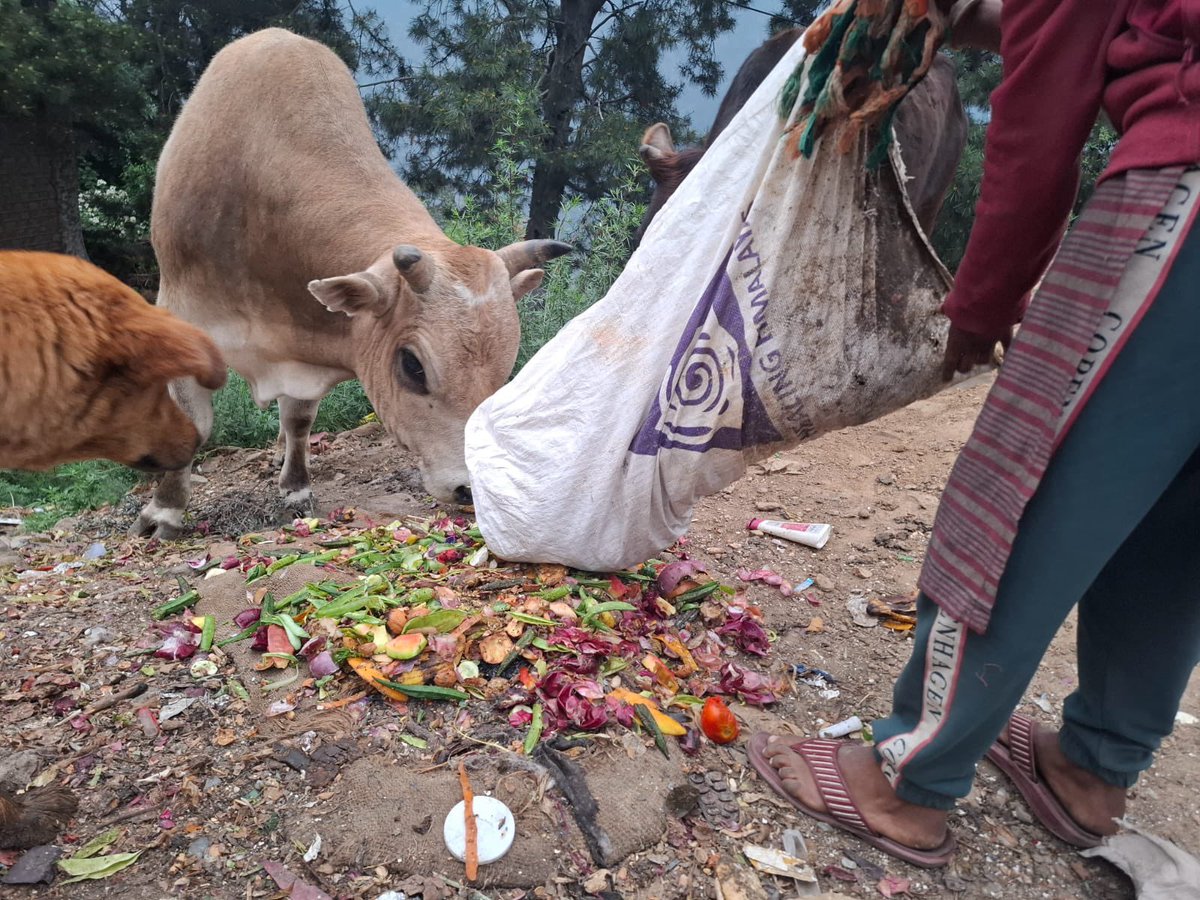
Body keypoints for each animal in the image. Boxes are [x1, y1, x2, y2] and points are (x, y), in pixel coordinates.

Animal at [130, 28, 571, 539]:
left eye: (506, 368)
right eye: (413, 366)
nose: (470, 489)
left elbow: (299, 420)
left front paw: (295, 487)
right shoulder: (182, 315)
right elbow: (194, 424)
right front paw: (164, 511)